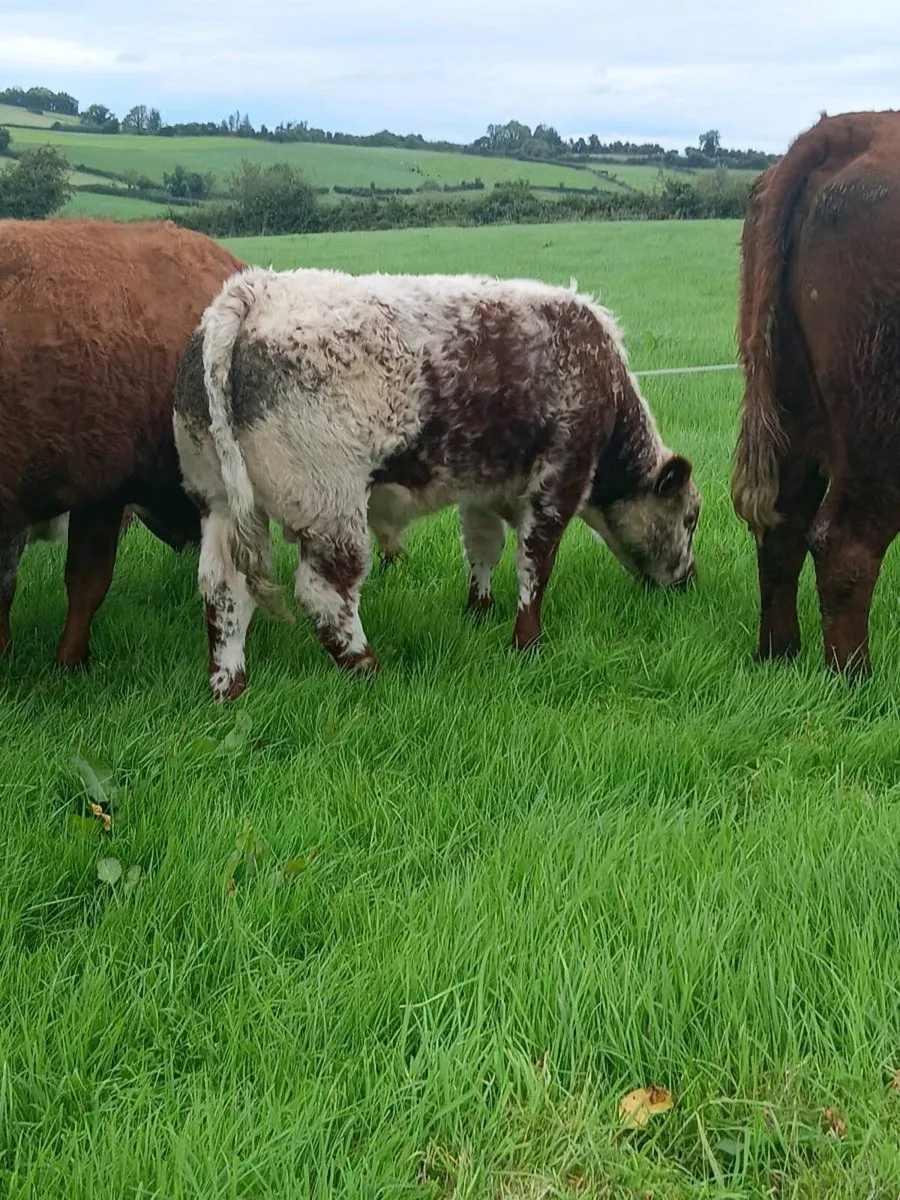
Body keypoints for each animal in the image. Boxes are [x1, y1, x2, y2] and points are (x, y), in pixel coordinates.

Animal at [173, 266, 701, 701]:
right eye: (691, 518)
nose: (688, 581)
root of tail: (251, 291)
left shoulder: (484, 490)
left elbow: (483, 548)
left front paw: (479, 610)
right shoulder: (559, 480)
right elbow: (535, 564)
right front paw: (527, 641)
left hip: (220, 507)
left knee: (224, 591)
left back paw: (229, 686)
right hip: (330, 507)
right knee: (325, 594)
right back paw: (369, 668)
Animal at [732, 110, 900, 677]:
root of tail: (851, 128)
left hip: (792, 416)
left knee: (780, 532)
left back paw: (779, 653)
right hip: (877, 429)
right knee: (843, 544)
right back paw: (854, 679)